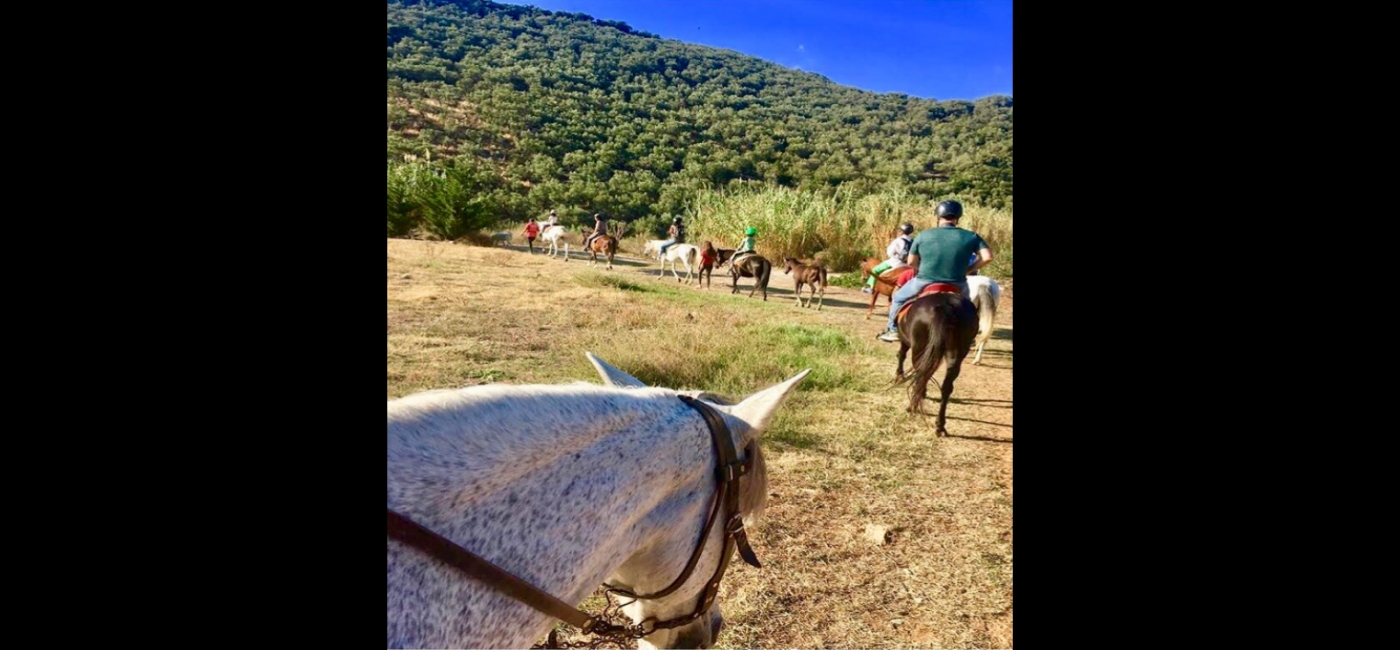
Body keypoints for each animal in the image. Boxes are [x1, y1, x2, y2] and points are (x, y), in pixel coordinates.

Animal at [890, 285, 980, 434]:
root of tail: (945, 305)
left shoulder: (905, 341)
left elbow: (901, 355)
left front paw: (899, 376)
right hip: (956, 353)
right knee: (946, 387)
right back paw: (940, 425)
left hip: (920, 349)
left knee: (920, 377)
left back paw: (912, 407)